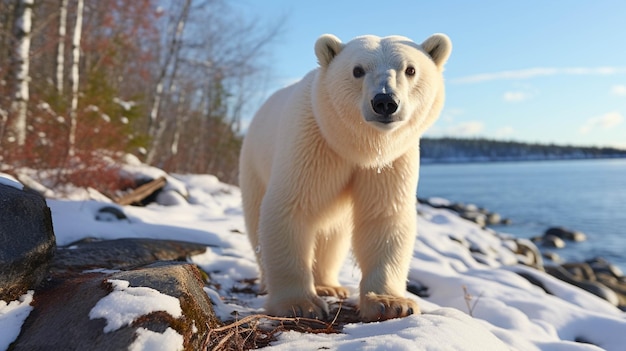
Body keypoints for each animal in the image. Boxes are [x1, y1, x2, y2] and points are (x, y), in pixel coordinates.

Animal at [238, 33, 448, 322]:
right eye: (357, 70)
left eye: (410, 69)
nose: (384, 102)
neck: (358, 149)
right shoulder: (313, 142)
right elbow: (291, 208)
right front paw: (299, 304)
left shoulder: (391, 161)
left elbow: (383, 217)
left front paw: (390, 303)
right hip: (254, 164)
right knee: (256, 221)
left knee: (333, 235)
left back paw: (328, 285)